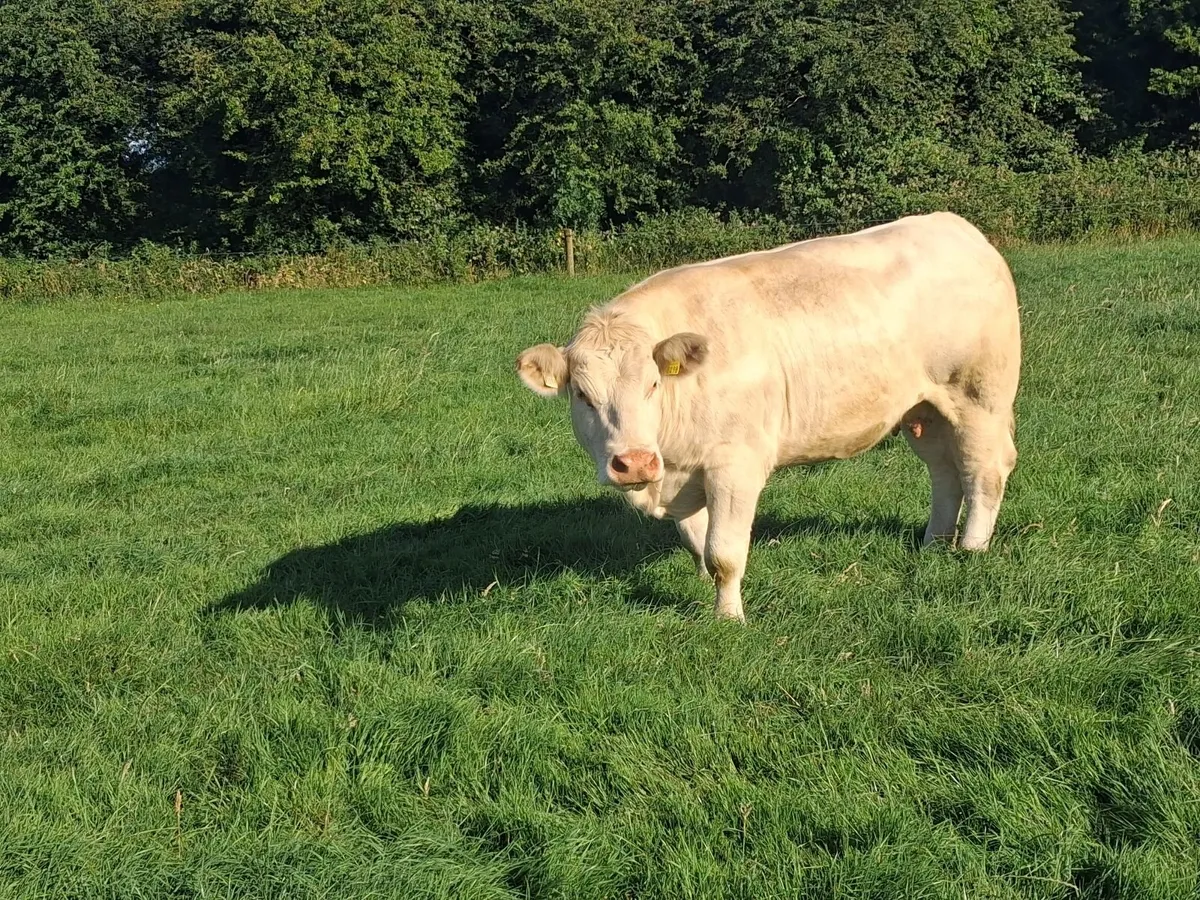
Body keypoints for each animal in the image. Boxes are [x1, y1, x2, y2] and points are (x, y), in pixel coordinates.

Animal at [516, 212, 1020, 622]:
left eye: (653, 385)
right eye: (583, 395)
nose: (635, 463)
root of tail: (957, 227)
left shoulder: (735, 466)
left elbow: (724, 552)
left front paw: (728, 618)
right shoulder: (686, 471)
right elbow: (698, 542)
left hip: (980, 400)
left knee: (983, 472)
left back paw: (971, 549)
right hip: (925, 410)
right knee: (945, 473)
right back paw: (933, 543)